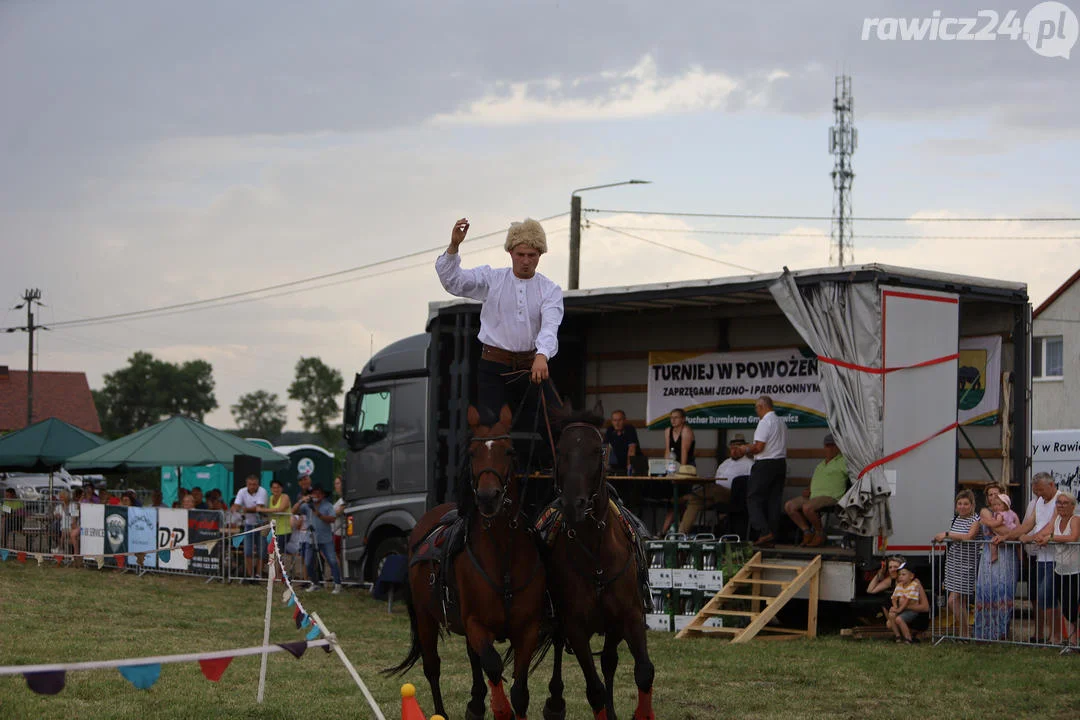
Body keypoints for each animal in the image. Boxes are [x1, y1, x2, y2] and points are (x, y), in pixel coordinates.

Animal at [386, 405, 548, 720]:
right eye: (472, 453)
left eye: (509, 450)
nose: (487, 497)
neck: (503, 555)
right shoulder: (476, 624)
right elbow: (494, 666)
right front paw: (499, 709)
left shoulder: (528, 628)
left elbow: (519, 690)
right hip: (425, 616)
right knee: (433, 667)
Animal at [544, 418, 652, 720]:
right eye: (561, 450)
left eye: (597, 451)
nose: (574, 504)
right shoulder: (575, 627)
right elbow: (595, 690)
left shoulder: (630, 617)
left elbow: (644, 672)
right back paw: (554, 703)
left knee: (608, 660)